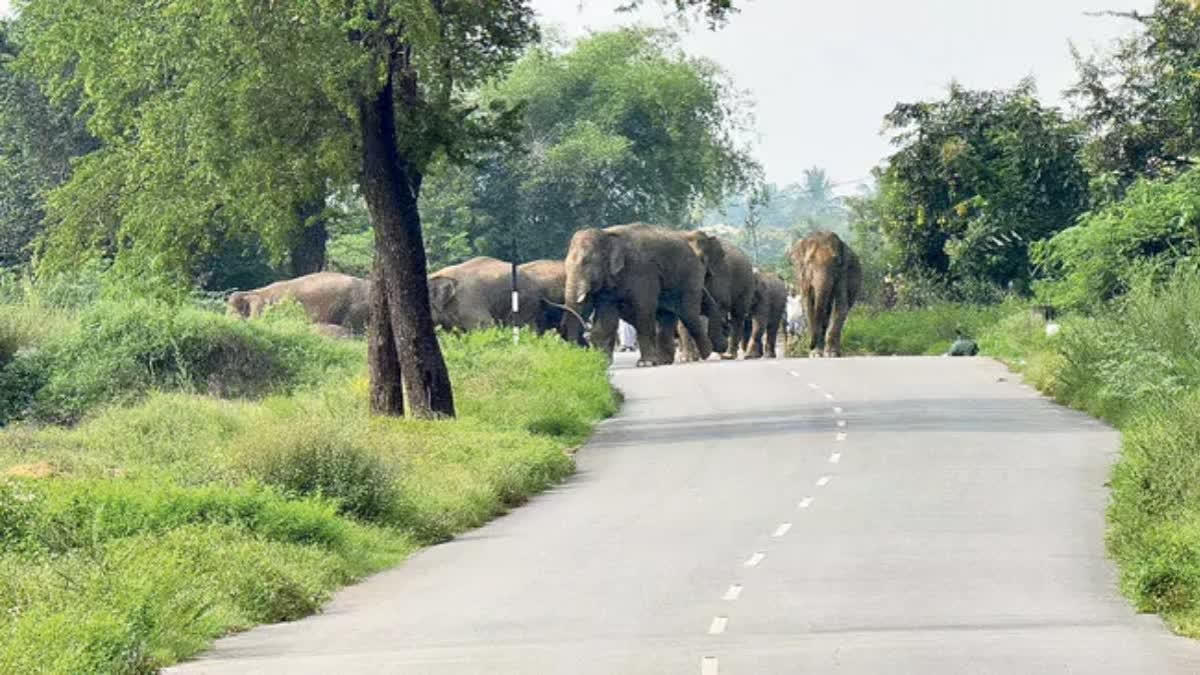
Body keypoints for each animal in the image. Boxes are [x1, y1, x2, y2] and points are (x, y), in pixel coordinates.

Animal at [564, 223, 713, 366]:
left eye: (585, 262)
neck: (607, 234)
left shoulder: (643, 271)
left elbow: (644, 309)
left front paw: (645, 363)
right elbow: (607, 318)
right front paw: (602, 362)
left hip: (690, 277)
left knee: (688, 314)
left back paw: (705, 354)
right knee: (667, 316)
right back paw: (664, 361)